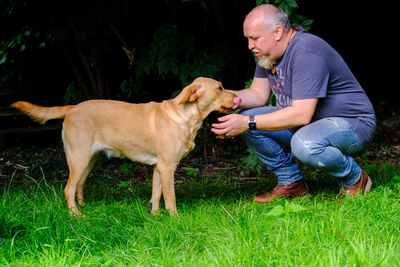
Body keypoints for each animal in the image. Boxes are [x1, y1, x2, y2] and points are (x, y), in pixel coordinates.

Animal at [10, 77, 241, 216]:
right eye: (219, 88)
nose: (238, 97)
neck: (186, 116)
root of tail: (73, 108)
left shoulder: (159, 168)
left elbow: (156, 195)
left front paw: (156, 216)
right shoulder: (167, 168)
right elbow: (170, 198)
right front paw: (174, 218)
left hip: (89, 160)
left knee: (79, 186)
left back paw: (83, 207)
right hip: (79, 158)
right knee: (68, 189)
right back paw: (76, 214)